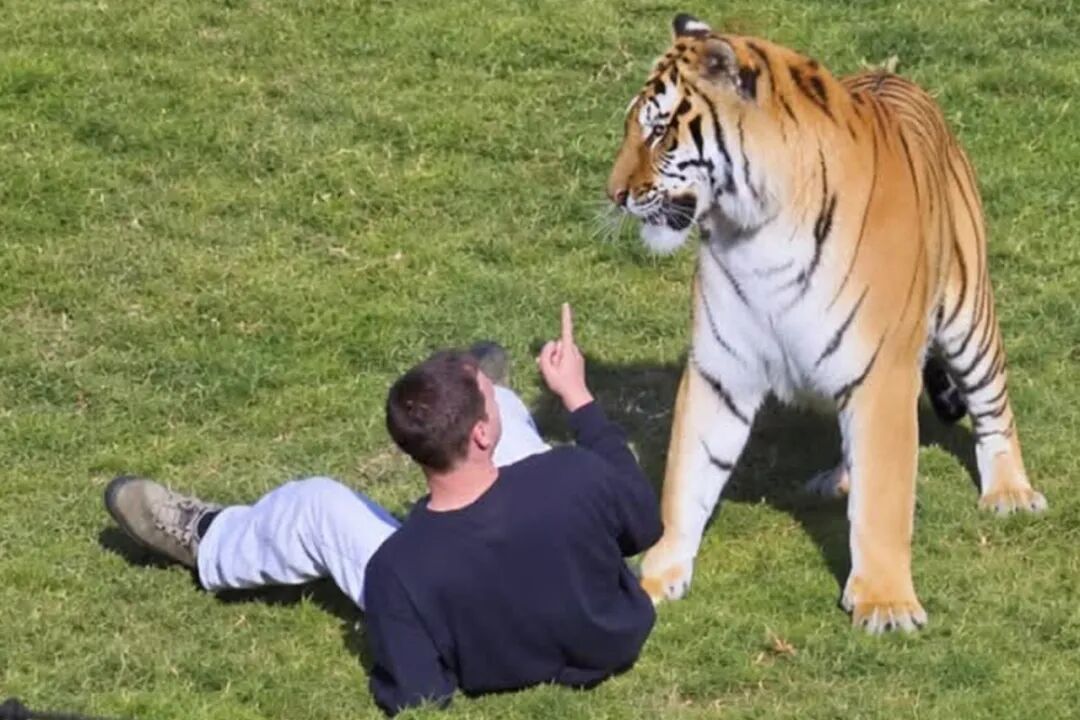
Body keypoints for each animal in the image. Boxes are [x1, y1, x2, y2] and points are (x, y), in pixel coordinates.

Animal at [606, 13, 1047, 632]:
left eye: (661, 132)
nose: (615, 194)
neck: (757, 230)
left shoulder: (883, 372)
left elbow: (884, 496)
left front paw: (885, 603)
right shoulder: (720, 369)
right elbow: (686, 476)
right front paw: (655, 577)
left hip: (968, 317)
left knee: (993, 406)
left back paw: (1010, 493)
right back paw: (837, 480)